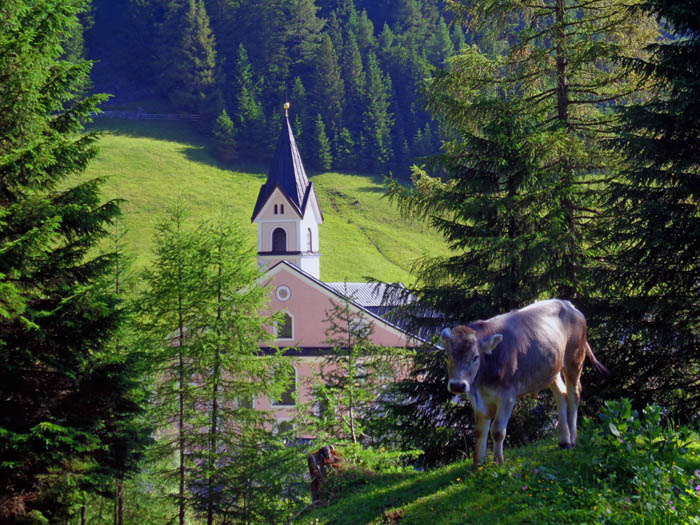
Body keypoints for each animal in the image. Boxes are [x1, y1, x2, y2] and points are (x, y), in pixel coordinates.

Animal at [442, 298, 608, 462]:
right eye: (447, 356)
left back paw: (573, 439)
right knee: (561, 395)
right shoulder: (476, 398)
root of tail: (566, 303)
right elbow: (479, 431)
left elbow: (497, 430)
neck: (482, 383)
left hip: (574, 359)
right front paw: (478, 464)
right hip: (551, 368)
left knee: (574, 395)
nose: (457, 385)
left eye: (476, 357)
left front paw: (498, 462)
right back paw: (564, 440)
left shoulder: (507, 395)